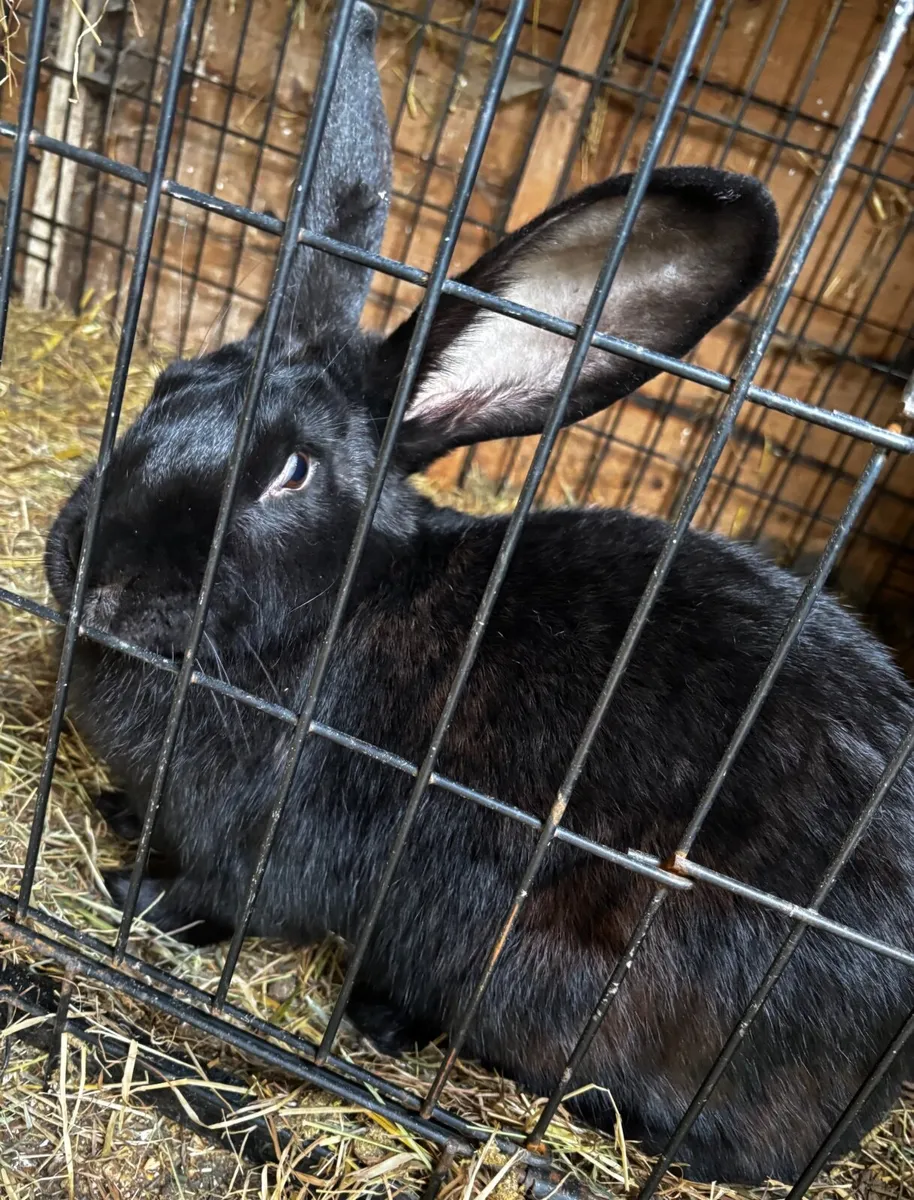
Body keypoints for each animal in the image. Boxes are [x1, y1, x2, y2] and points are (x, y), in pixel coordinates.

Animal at [44, 2, 914, 1186]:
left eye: (290, 473)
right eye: (169, 381)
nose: (83, 567)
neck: (334, 618)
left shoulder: (267, 847)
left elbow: (210, 904)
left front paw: (126, 894)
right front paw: (118, 814)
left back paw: (390, 1022)